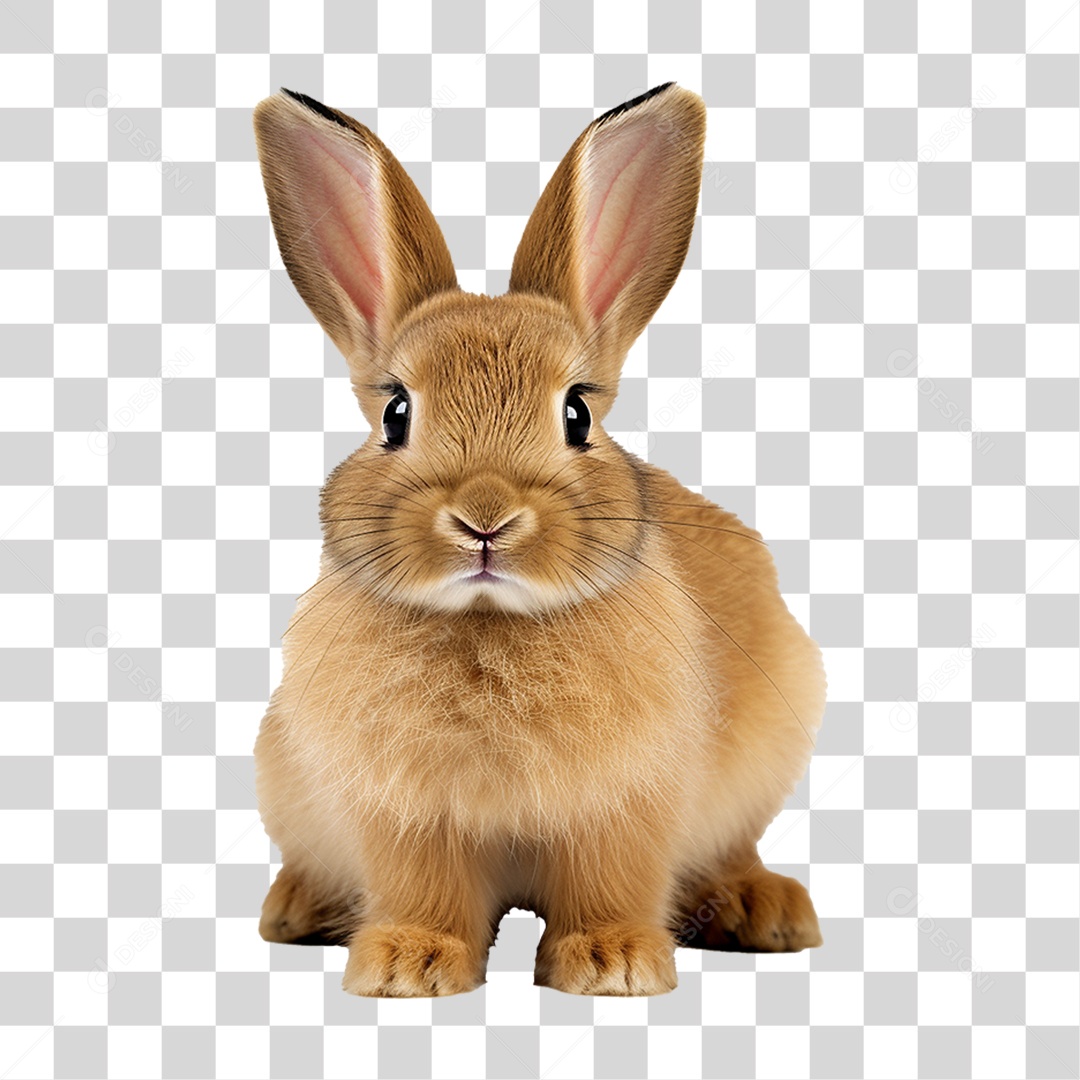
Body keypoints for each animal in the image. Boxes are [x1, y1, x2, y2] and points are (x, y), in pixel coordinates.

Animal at [251, 82, 827, 998]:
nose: (484, 517)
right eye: (396, 415)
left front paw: (613, 964)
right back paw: (299, 908)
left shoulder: (624, 803)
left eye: (577, 414)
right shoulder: (404, 811)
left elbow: (611, 880)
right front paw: (407, 964)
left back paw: (762, 908)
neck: (492, 621)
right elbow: (424, 886)